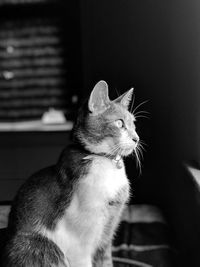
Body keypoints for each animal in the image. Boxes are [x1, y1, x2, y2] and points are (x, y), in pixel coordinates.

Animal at [3, 81, 141, 267]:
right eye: (119, 123)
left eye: (133, 124)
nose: (136, 138)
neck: (104, 161)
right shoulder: (80, 246)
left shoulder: (106, 236)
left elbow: (106, 261)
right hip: (46, 247)